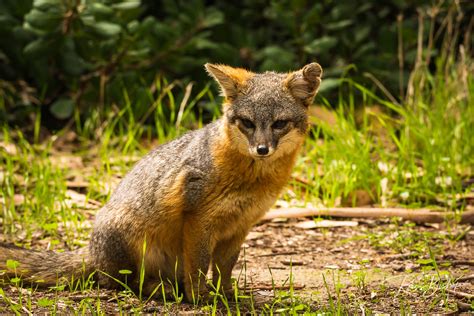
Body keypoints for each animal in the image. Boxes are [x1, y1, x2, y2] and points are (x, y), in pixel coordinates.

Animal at [0, 61, 322, 302]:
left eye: (279, 124)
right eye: (247, 123)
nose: (262, 149)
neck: (252, 179)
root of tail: (91, 250)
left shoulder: (240, 225)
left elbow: (224, 268)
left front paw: (227, 295)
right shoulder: (198, 220)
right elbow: (199, 266)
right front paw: (201, 298)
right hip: (132, 241)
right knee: (123, 283)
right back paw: (163, 290)